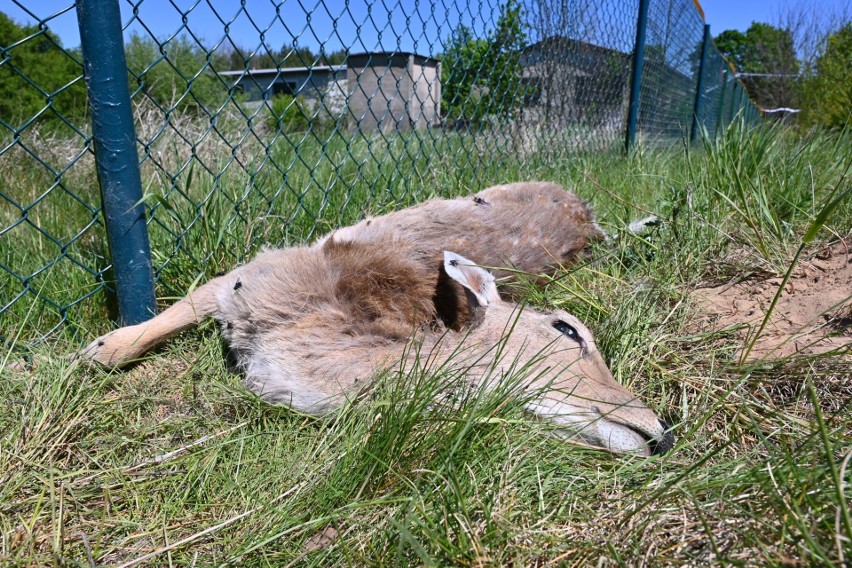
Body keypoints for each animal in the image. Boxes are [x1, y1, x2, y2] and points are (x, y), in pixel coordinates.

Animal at [81, 182, 680, 458]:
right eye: (567, 329)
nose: (661, 430)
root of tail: (593, 219)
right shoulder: (253, 273)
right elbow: (186, 302)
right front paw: (97, 350)